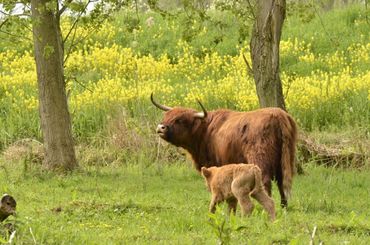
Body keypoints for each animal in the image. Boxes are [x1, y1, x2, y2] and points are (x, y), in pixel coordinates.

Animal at [150, 94, 298, 207]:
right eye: (167, 116)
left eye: (179, 120)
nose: (161, 127)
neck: (205, 131)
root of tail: (278, 114)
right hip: (285, 159)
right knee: (282, 182)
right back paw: (283, 206)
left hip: (260, 158)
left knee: (265, 181)